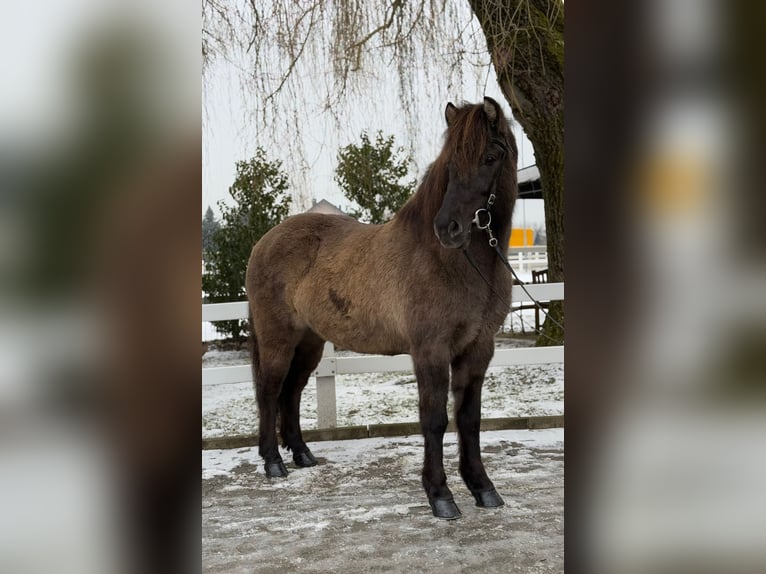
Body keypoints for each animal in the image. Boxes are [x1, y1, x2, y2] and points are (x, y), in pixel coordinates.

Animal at [249, 97, 520, 520]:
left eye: (491, 157)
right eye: (450, 164)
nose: (449, 228)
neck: (453, 262)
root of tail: (263, 243)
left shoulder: (478, 349)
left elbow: (469, 419)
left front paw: (483, 488)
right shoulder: (430, 351)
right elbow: (435, 419)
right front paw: (440, 496)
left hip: (310, 343)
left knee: (291, 391)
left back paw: (303, 455)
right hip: (278, 339)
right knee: (269, 390)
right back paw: (273, 463)